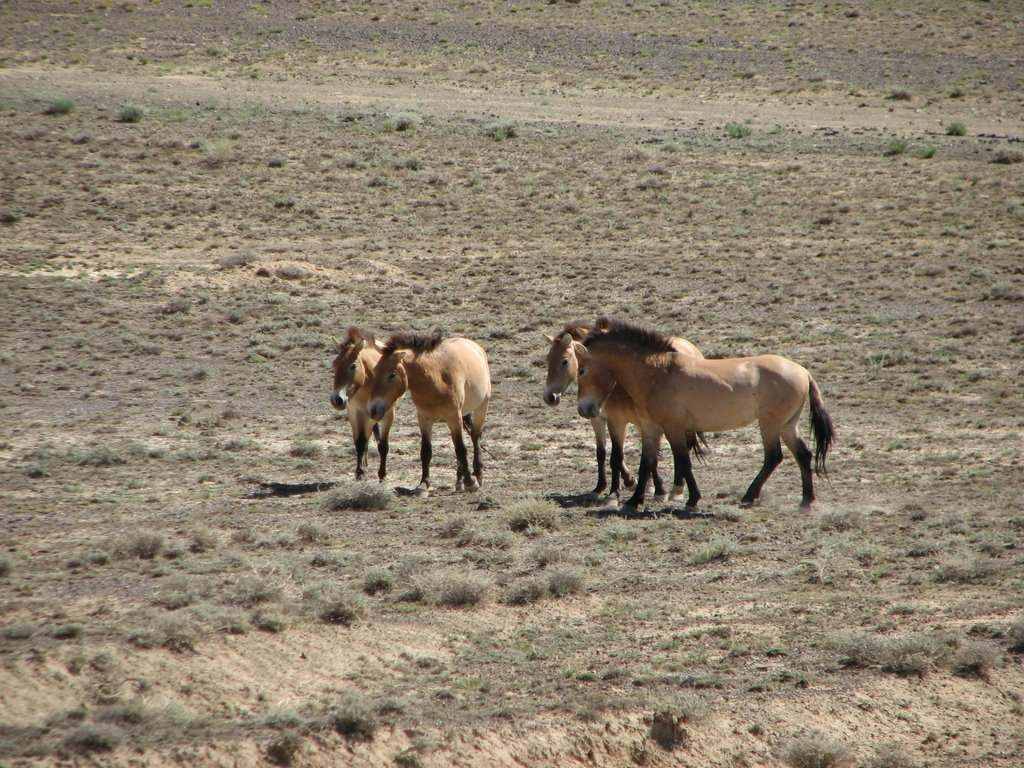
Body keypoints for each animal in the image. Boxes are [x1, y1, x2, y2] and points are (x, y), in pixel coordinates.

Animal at [327, 325, 395, 481]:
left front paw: (382, 474)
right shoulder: (354, 412)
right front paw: (359, 472)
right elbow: (359, 442)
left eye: (352, 366)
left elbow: (383, 444)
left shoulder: (386, 414)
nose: (336, 400)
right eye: (334, 365)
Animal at [368, 333, 491, 495]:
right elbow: (426, 451)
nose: (373, 410)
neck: (436, 379)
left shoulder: (454, 418)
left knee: (475, 437)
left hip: (480, 408)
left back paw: (478, 474)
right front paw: (423, 484)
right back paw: (459, 482)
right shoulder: (424, 419)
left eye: (392, 375)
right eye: (375, 372)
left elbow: (461, 449)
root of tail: (476, 347)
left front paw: (471, 482)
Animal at [544, 321, 704, 501]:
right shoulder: (602, 420)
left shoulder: (628, 421)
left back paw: (676, 488)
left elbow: (627, 457)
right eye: (548, 359)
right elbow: (604, 453)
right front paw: (605, 486)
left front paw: (644, 488)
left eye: (564, 361)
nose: (549, 397)